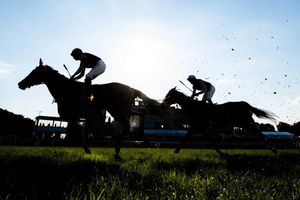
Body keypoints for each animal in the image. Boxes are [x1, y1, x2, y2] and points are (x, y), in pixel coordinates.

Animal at [18, 58, 164, 157]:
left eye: (34, 72)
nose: (20, 84)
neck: (65, 89)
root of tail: (132, 89)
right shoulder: (74, 118)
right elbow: (78, 132)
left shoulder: (72, 117)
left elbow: (78, 132)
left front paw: (87, 149)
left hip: (117, 110)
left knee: (127, 127)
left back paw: (117, 149)